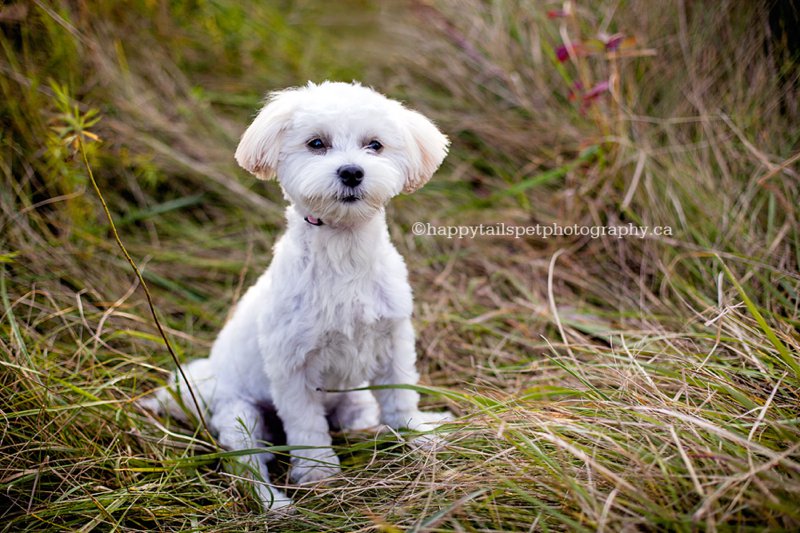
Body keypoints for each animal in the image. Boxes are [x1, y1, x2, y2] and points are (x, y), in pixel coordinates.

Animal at [142, 81, 450, 510]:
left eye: (374, 145)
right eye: (316, 143)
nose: (351, 172)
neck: (343, 251)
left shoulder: (394, 344)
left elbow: (400, 398)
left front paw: (418, 436)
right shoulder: (292, 367)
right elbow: (306, 426)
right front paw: (319, 475)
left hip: (350, 397)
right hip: (242, 418)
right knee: (249, 468)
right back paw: (277, 507)